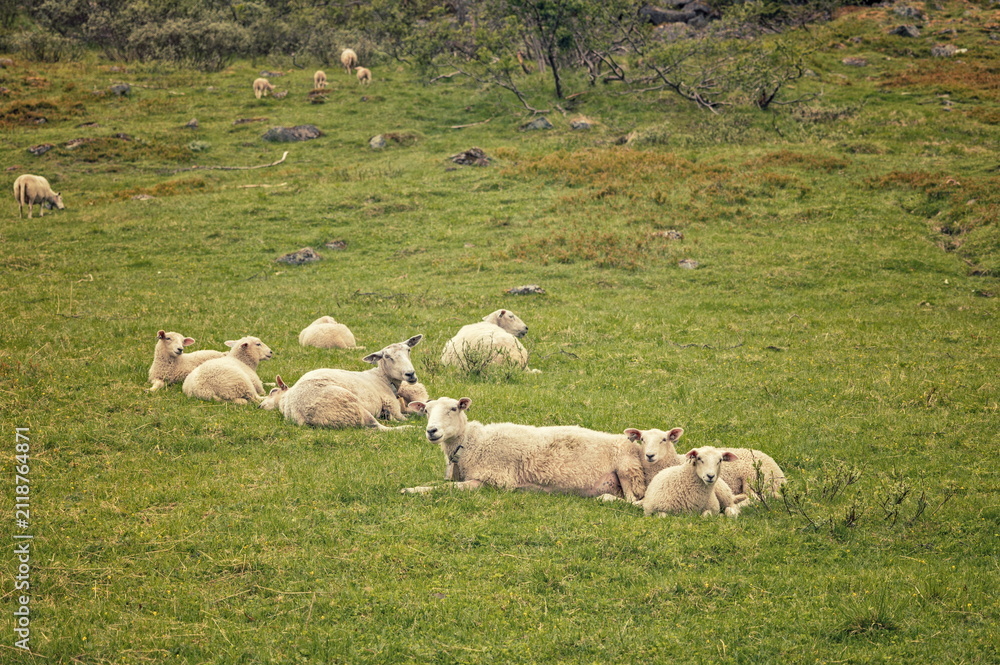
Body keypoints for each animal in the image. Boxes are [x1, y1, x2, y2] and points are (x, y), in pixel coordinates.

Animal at [400, 396, 647, 502]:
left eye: (453, 408)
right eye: (425, 411)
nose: (431, 431)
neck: (472, 444)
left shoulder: (495, 481)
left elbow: (448, 488)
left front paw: (411, 490)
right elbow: (437, 483)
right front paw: (412, 486)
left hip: (628, 471)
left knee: (632, 501)